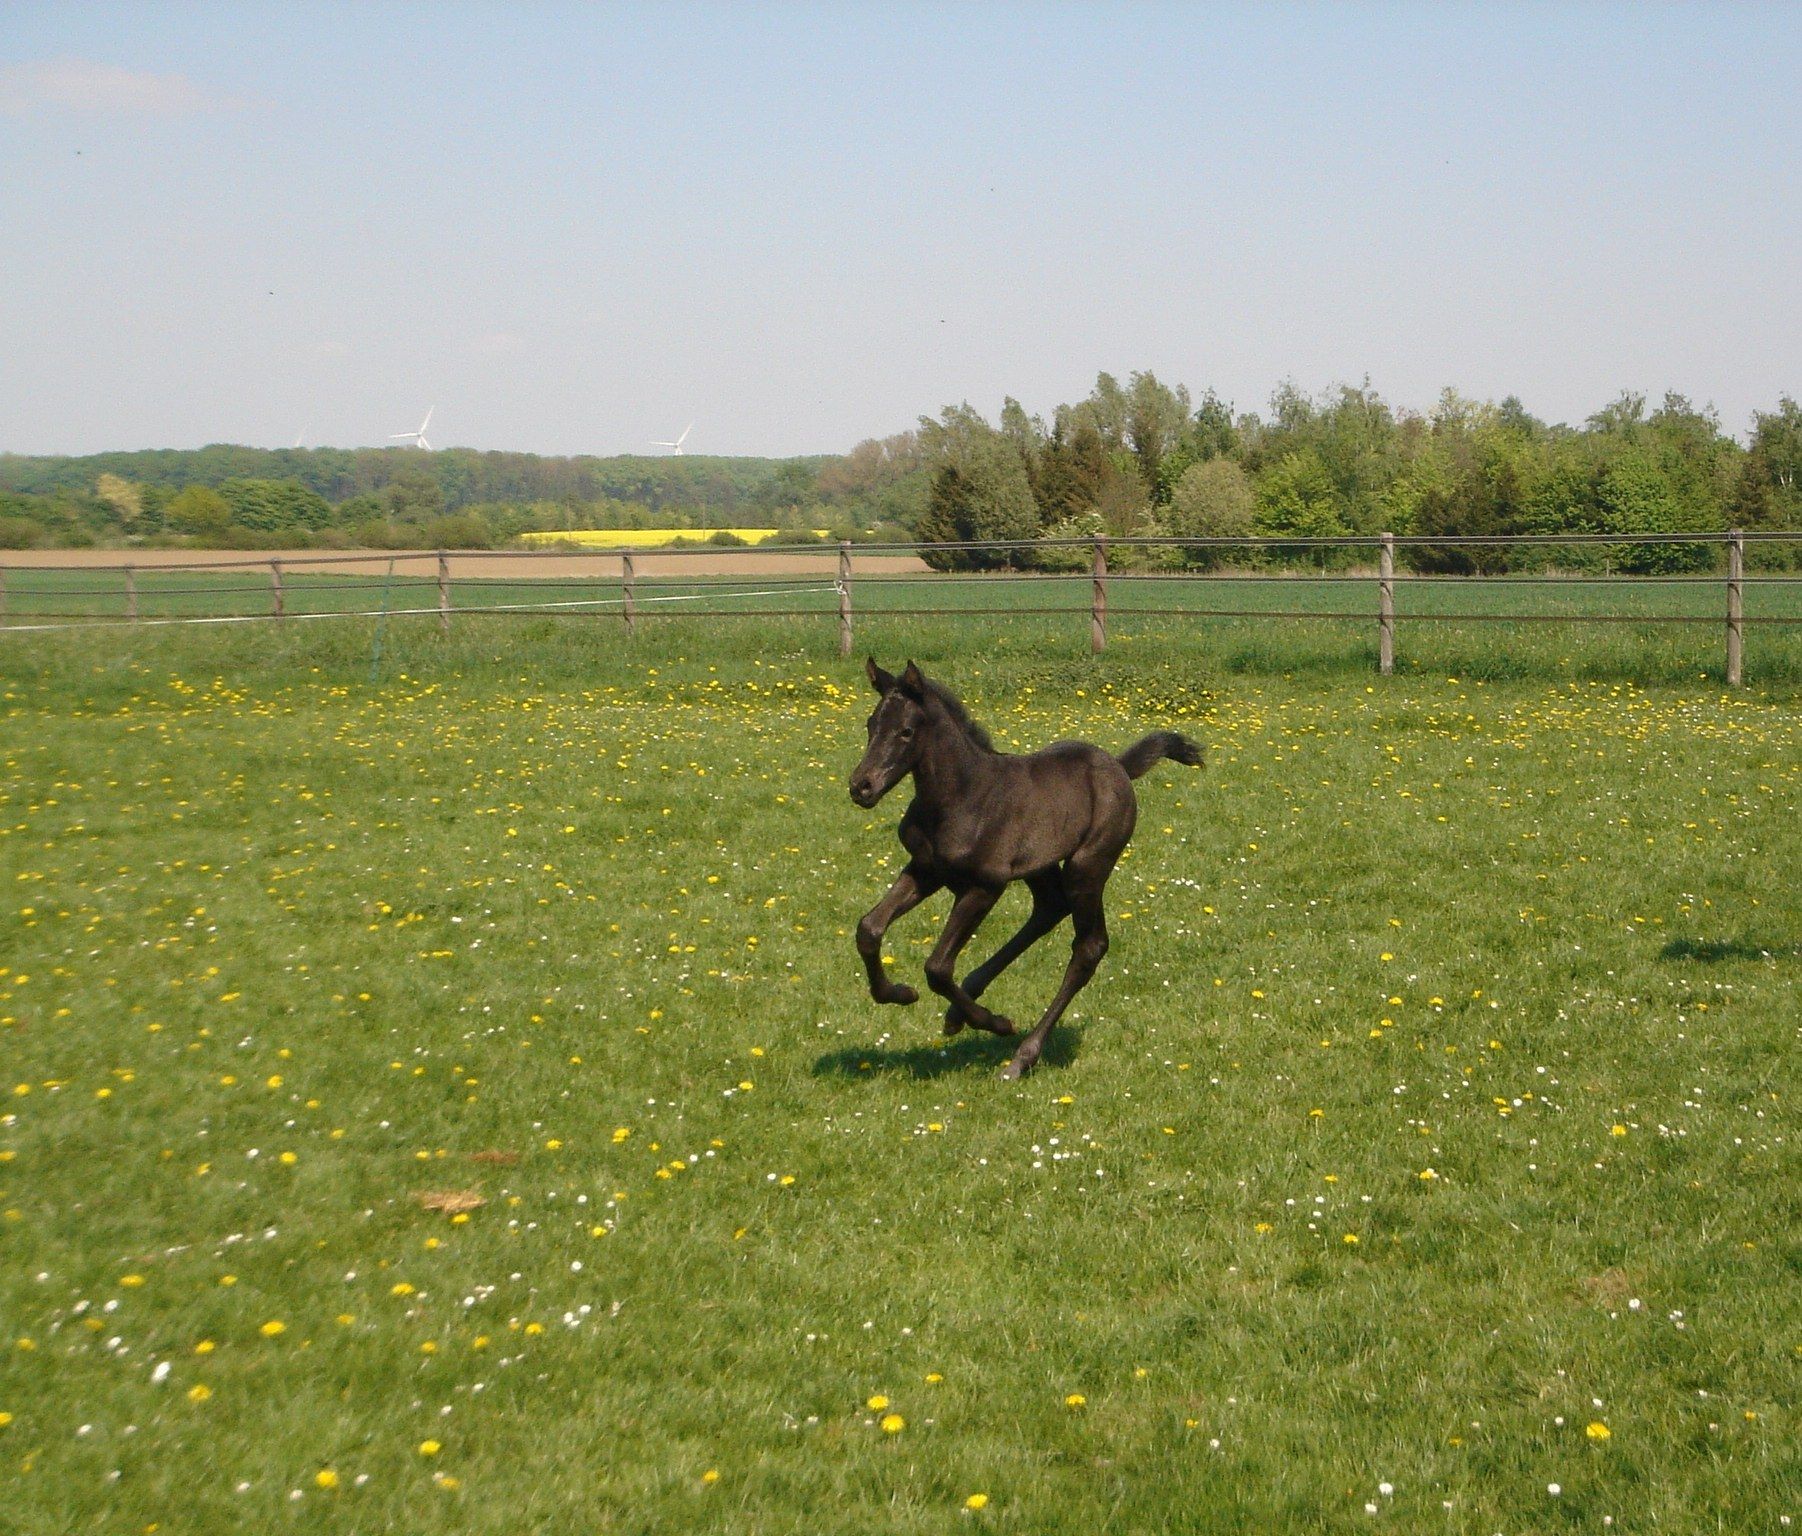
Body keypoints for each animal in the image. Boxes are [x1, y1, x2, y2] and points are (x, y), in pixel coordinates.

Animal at [843, 659, 1196, 1081]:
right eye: (870, 725)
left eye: (906, 731)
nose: (861, 786)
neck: (960, 796)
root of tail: (1119, 767)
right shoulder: (926, 870)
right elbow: (869, 928)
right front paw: (899, 993)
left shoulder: (984, 886)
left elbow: (938, 967)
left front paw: (996, 1023)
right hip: (1040, 866)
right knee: (1050, 908)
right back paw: (962, 1007)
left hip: (1088, 866)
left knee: (1089, 946)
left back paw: (1020, 1055)